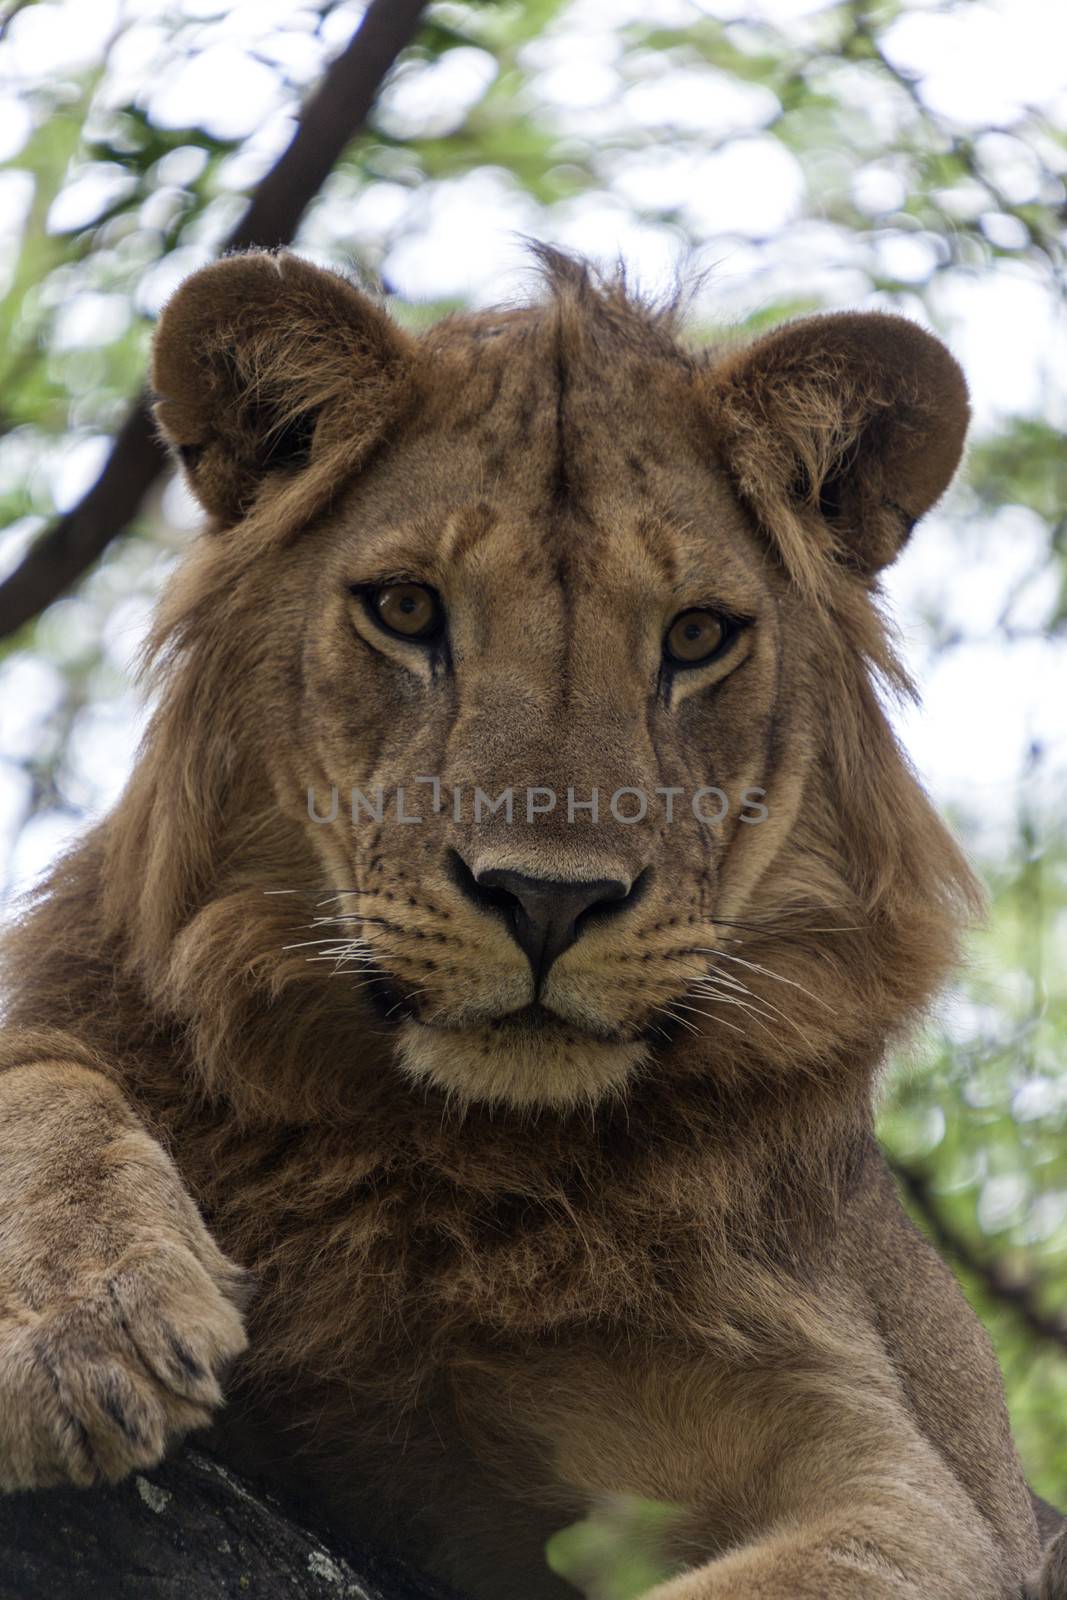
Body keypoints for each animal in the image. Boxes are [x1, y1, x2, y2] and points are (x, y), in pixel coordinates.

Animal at [0, 249, 1062, 1600]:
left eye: (696, 634)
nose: (548, 899)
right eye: (406, 609)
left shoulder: (922, 1492)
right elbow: (38, 1070)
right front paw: (79, 1320)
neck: (441, 1161)